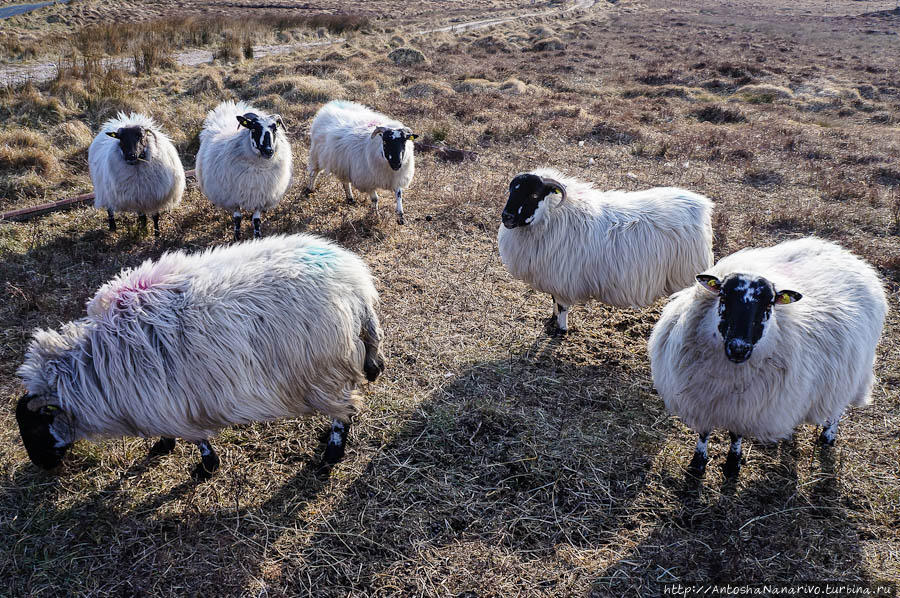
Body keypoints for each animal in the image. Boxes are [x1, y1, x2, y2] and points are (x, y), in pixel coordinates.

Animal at [14, 234, 384, 482]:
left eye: (35, 427)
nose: (42, 466)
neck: (95, 366)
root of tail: (355, 286)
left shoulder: (173, 402)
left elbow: (198, 440)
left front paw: (205, 467)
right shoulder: (158, 400)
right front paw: (163, 445)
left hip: (324, 372)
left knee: (345, 412)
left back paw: (331, 454)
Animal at [195, 102, 294, 243]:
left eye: (274, 129)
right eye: (254, 129)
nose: (268, 151)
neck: (257, 167)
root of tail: (230, 106)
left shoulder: (261, 196)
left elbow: (256, 220)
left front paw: (257, 238)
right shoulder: (233, 198)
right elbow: (237, 219)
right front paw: (236, 238)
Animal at [496, 169, 712, 332]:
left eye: (533, 194)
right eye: (511, 191)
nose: (507, 217)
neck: (554, 216)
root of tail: (701, 205)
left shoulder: (563, 278)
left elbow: (562, 306)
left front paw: (561, 330)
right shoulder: (553, 278)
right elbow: (553, 301)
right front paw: (552, 320)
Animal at [648, 238, 884, 478]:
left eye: (769, 303)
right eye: (723, 296)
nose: (739, 348)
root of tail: (848, 255)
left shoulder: (745, 407)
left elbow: (735, 435)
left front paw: (733, 464)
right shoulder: (702, 400)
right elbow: (704, 433)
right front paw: (697, 464)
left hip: (851, 370)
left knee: (838, 407)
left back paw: (828, 436)